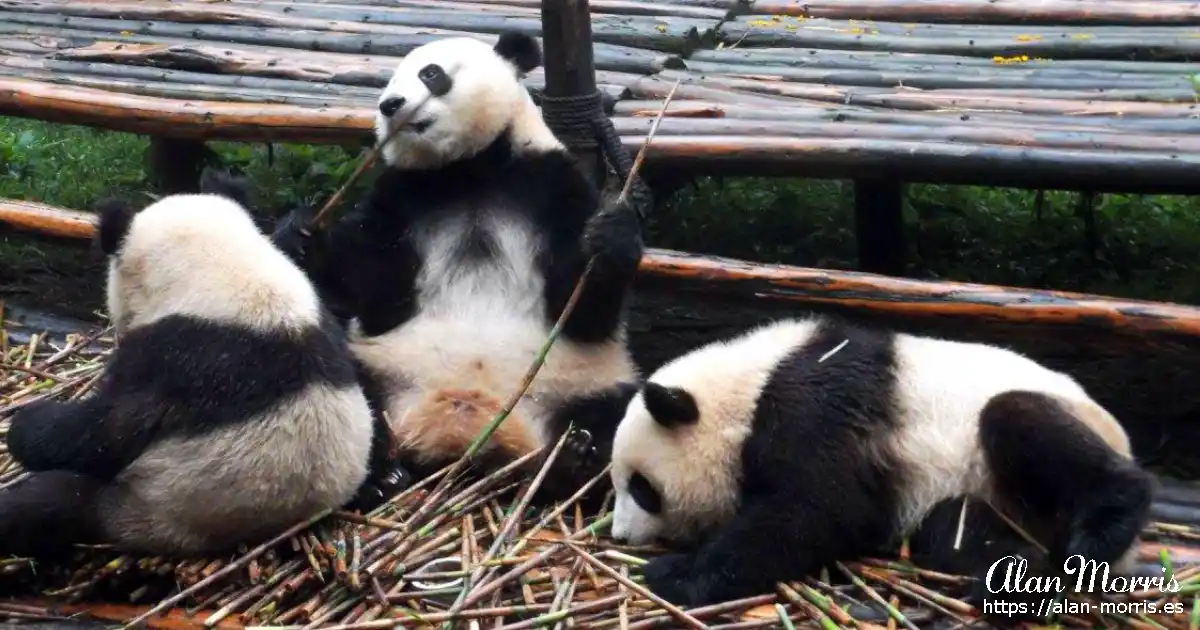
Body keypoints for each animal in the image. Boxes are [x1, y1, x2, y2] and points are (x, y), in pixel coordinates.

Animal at [0, 169, 396, 556]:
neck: (227, 272)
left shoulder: (171, 357)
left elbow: (106, 431)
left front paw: (24, 425)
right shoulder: (320, 319)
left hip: (150, 504)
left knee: (51, 502)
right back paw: (383, 481)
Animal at [272, 30, 648, 501]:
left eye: (430, 74)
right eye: (387, 81)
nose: (390, 105)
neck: (468, 171)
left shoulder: (550, 184)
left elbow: (582, 312)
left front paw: (610, 237)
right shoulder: (403, 199)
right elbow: (377, 289)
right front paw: (302, 236)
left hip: (581, 380)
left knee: (625, 410)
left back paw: (577, 456)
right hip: (383, 368)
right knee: (342, 385)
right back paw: (381, 476)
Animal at [609, 314, 1152, 619]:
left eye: (641, 488)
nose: (619, 536)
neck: (747, 390)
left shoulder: (817, 410)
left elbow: (817, 509)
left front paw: (675, 573)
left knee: (1016, 418)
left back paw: (1102, 531)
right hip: (988, 499)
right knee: (952, 530)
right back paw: (1017, 575)